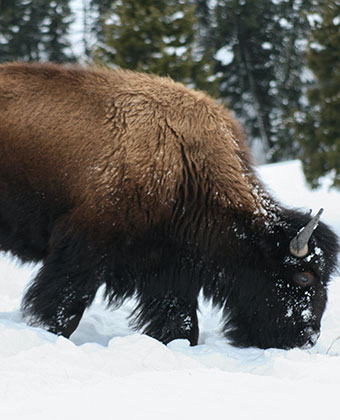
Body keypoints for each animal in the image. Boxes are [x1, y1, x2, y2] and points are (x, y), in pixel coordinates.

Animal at [0, 62, 338, 350]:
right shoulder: (83, 250)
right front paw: (48, 332)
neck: (186, 164)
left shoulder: (172, 267)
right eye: (304, 277)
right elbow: (64, 305)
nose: (308, 337)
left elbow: (181, 321)